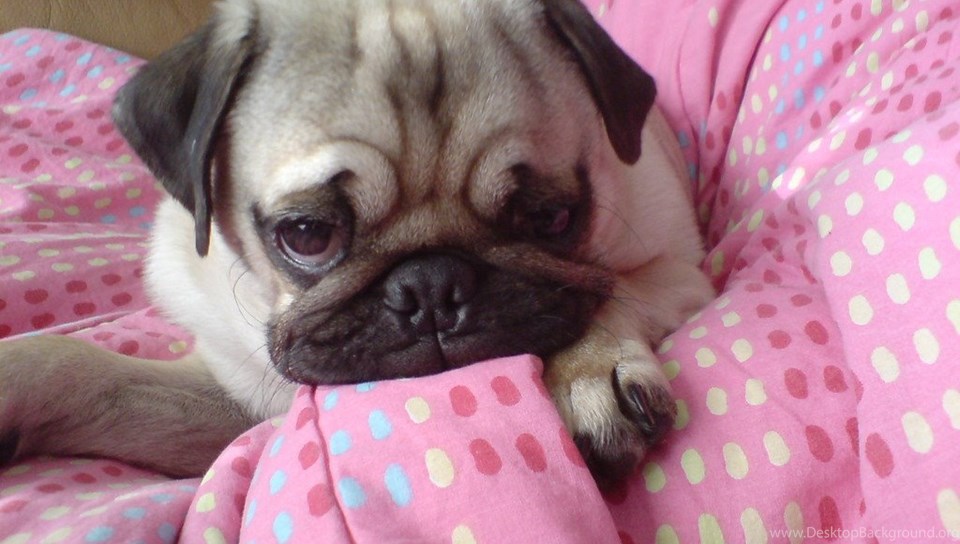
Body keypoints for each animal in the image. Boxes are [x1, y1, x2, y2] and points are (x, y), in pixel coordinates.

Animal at [0, 0, 713, 490]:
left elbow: (610, 293)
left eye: (550, 217)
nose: (432, 286)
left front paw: (586, 372)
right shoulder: (237, 398)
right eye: (307, 235)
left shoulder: (681, 270)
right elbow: (78, 367)